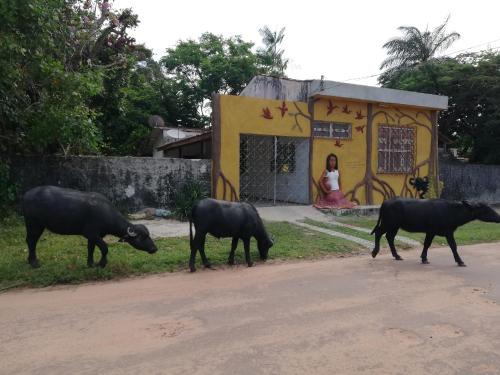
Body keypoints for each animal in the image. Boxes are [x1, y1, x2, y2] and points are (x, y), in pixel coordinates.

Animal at [22, 187, 156, 268]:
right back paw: (34, 263)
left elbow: (90, 249)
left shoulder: (93, 237)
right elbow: (105, 248)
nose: (154, 248)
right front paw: (101, 264)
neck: (106, 213)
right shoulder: (91, 234)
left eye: (148, 235)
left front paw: (90, 264)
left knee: (32, 241)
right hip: (33, 224)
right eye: (142, 237)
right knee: (31, 241)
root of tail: (26, 195)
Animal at [372, 197, 500, 268]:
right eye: (486, 209)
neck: (450, 211)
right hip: (388, 224)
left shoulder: (447, 232)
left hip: (394, 226)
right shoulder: (432, 231)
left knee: (389, 237)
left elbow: (452, 246)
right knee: (379, 233)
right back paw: (374, 252)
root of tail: (386, 202)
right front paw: (460, 261)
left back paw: (397, 255)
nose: (499, 217)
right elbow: (430, 244)